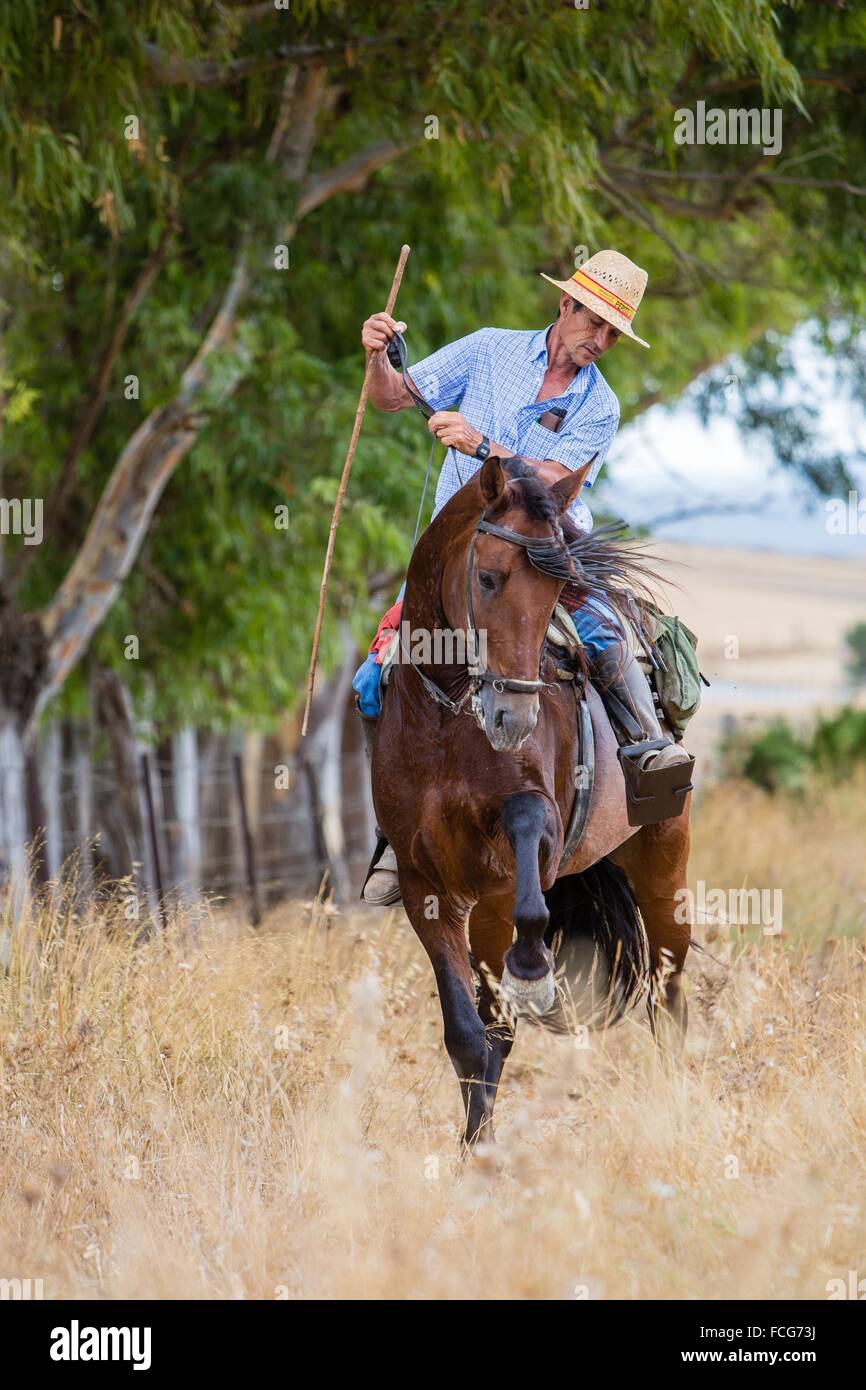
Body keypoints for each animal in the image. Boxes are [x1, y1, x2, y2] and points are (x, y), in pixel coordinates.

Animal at [369, 455, 692, 1150]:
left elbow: (525, 827)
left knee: (671, 993)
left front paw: (532, 971)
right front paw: (475, 1146)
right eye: (488, 578)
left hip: (663, 870)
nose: (513, 718)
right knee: (498, 1030)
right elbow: (469, 1036)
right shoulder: (427, 889)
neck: (447, 716)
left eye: (555, 592)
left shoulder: (525, 855)